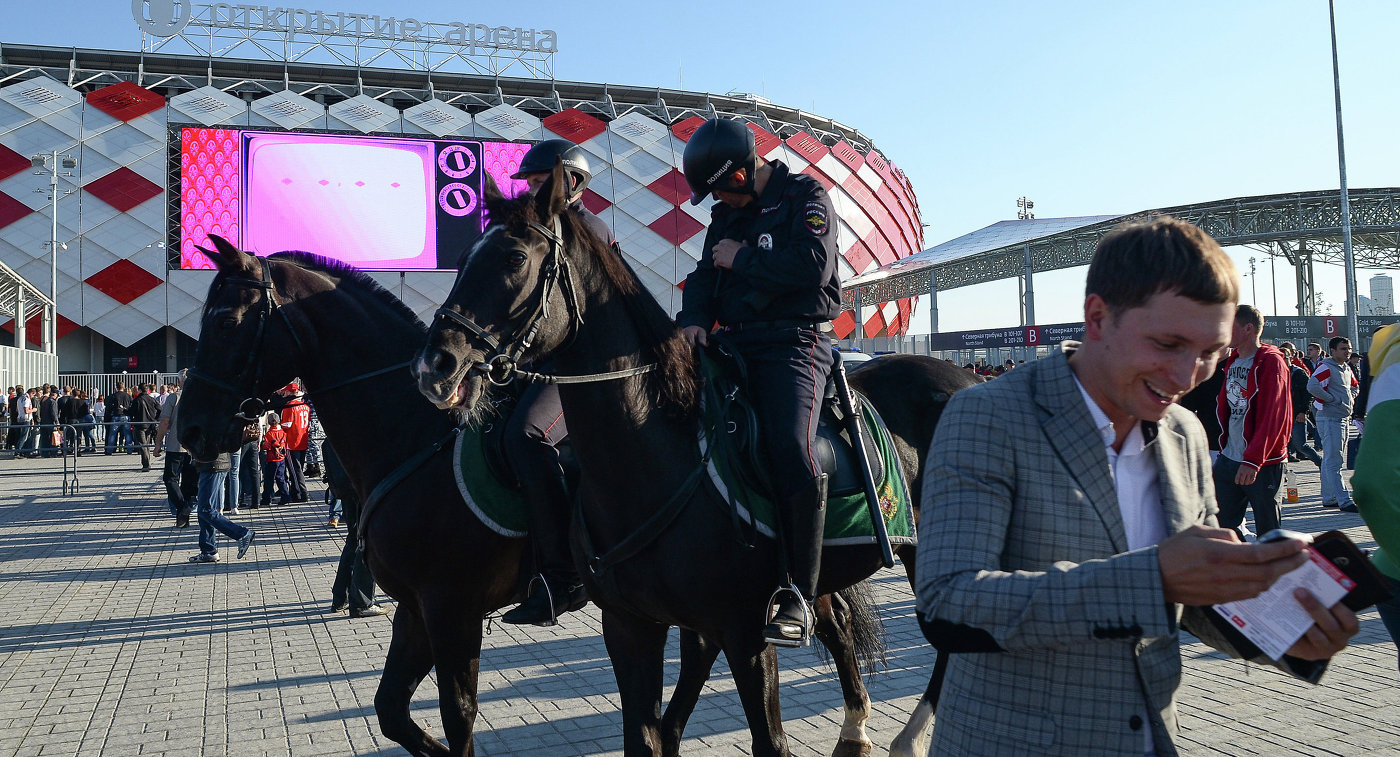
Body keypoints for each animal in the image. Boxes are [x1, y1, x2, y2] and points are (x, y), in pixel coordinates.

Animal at [414, 166, 980, 755]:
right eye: (465, 256)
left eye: (514, 258)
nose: (436, 364)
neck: (652, 459)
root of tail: (967, 378)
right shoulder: (630, 627)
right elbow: (645, 736)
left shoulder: (745, 632)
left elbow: (768, 740)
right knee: (845, 621)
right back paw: (857, 728)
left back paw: (908, 736)